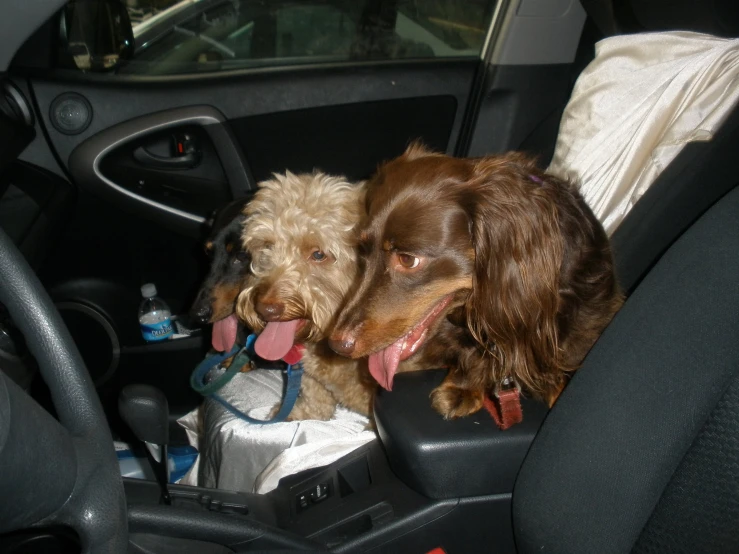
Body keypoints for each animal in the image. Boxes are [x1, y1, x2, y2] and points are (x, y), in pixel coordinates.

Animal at [237, 169, 376, 418]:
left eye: (318, 254)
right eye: (267, 245)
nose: (265, 309)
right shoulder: (311, 375)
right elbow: (315, 398)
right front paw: (300, 413)